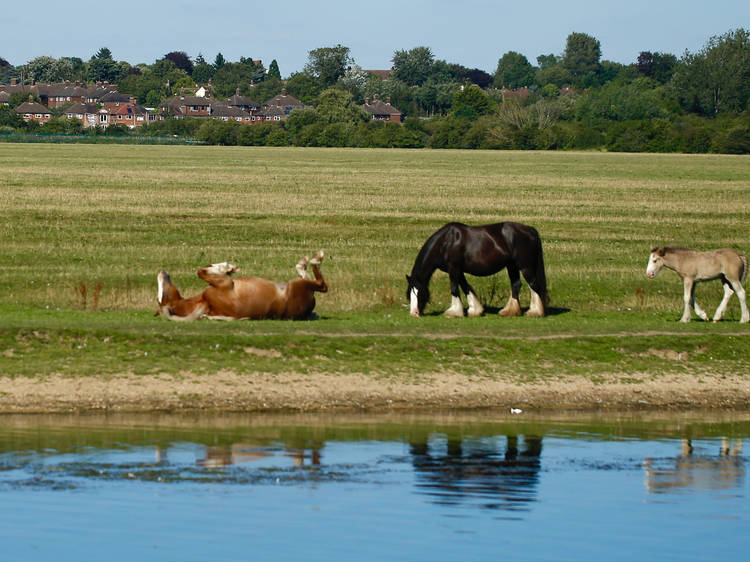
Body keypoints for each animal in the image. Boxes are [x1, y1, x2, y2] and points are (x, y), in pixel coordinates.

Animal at [157, 250, 328, 320]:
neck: (205, 302)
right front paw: (227, 267)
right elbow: (200, 272)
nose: (162, 273)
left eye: (163, 295)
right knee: (322, 285)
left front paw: (228, 268)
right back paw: (313, 259)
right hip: (296, 285)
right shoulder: (224, 283)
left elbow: (202, 270)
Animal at [408, 221, 548, 318]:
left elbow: (454, 288)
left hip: (525, 266)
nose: (414, 313)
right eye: (410, 293)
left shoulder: (454, 269)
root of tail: (529, 229)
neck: (446, 242)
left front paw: (454, 312)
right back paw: (509, 311)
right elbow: (465, 287)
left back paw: (535, 312)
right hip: (511, 265)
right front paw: (475, 310)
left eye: (418, 292)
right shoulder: (458, 271)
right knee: (516, 284)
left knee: (533, 285)